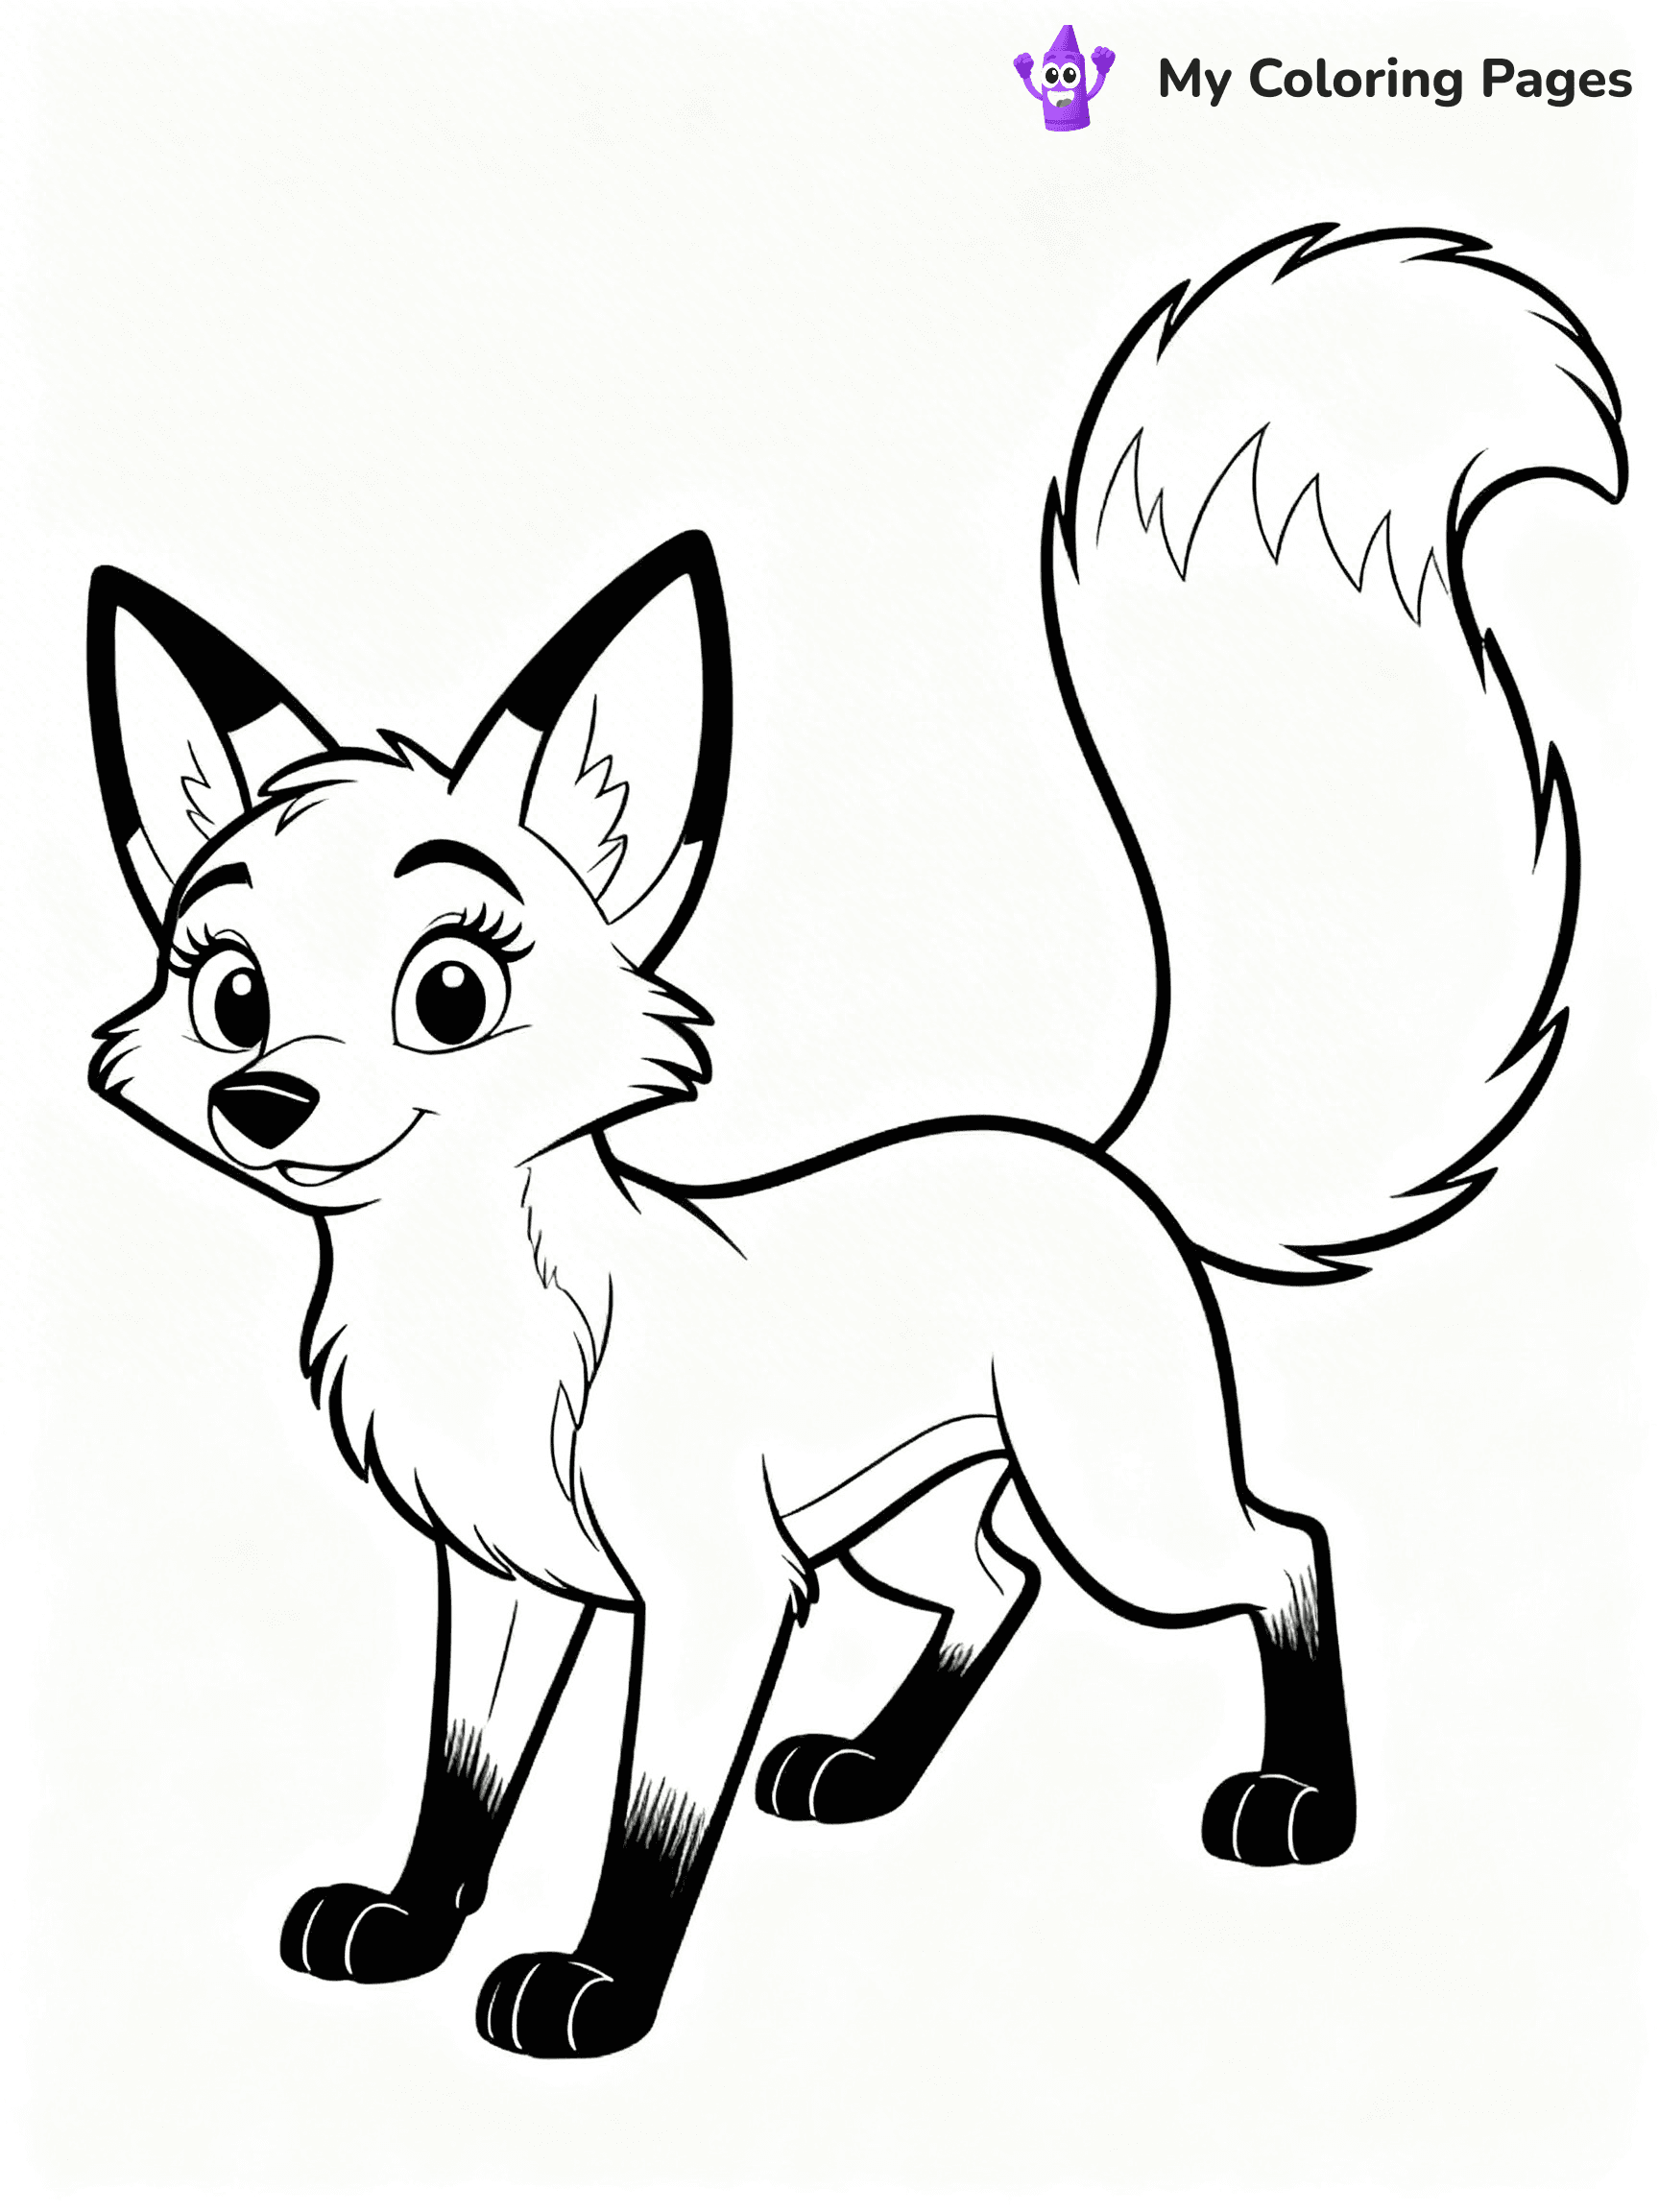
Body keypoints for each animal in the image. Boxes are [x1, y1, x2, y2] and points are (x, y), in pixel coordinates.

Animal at [87, 225, 1626, 2059]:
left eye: (450, 990)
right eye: (230, 992)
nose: (265, 1101)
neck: (478, 1323)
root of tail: (1092, 1151)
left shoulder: (713, 1588)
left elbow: (647, 1822)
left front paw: (598, 1985)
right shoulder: (513, 1581)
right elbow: (465, 1782)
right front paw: (409, 1920)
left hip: (1119, 1505)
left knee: (1283, 1547)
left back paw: (1296, 1802)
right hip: (891, 1515)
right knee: (996, 1584)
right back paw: (871, 1768)